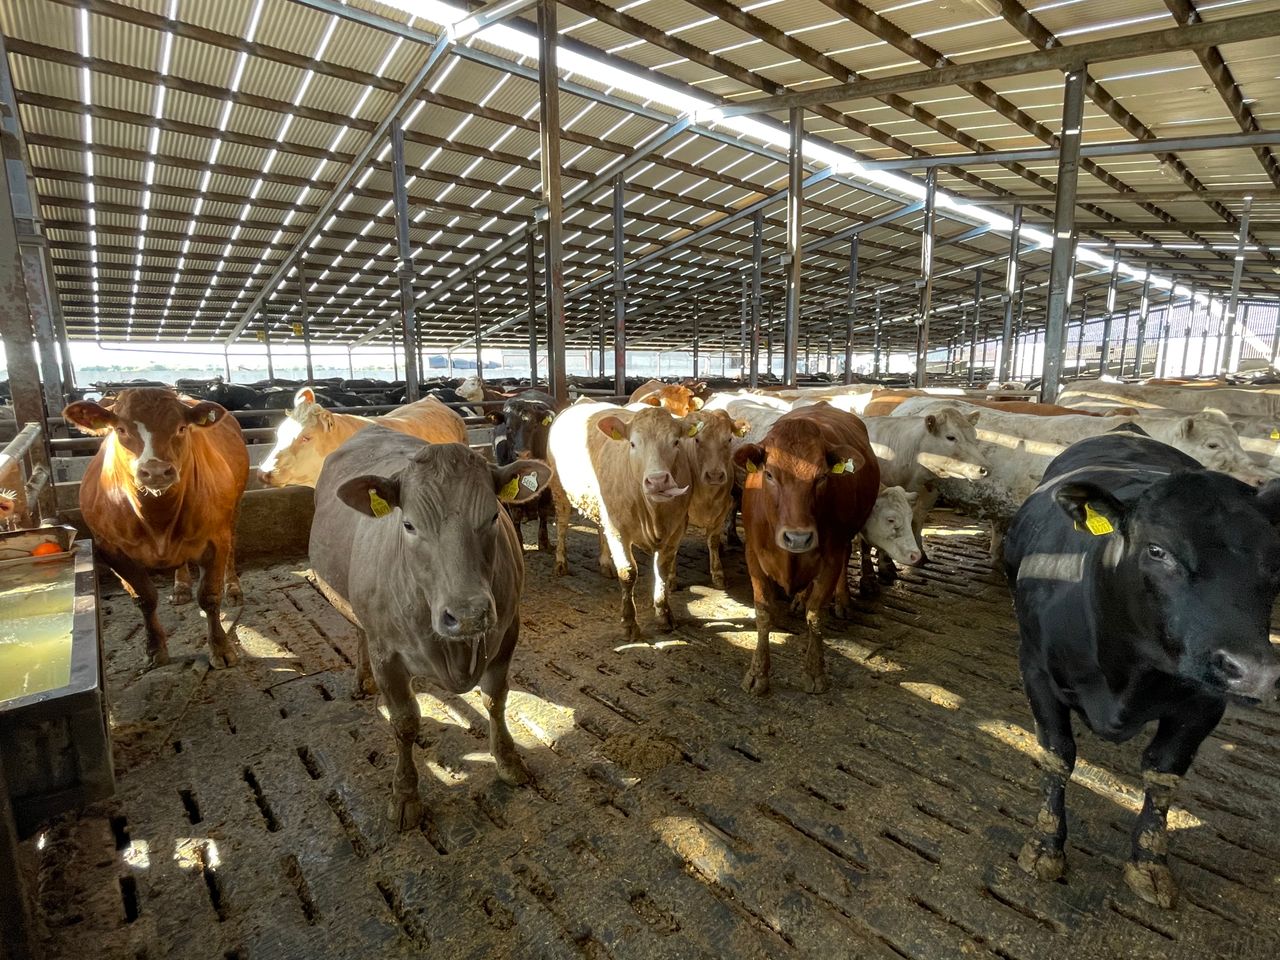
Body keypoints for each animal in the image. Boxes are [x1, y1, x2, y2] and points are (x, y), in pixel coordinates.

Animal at [64, 388, 249, 669]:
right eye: (120, 429)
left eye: (181, 428)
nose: (156, 471)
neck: (158, 518)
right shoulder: (111, 550)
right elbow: (144, 598)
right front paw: (154, 650)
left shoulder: (216, 540)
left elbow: (209, 596)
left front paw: (221, 649)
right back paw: (180, 588)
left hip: (234, 510)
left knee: (233, 546)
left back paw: (234, 588)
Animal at [309, 428, 550, 829]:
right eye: (408, 525)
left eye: (492, 517)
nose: (468, 614)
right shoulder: (387, 654)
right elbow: (405, 722)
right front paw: (406, 794)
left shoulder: (507, 632)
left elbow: (495, 699)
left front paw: (508, 761)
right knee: (359, 632)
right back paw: (362, 680)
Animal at [548, 402, 693, 642]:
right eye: (633, 443)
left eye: (675, 442)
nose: (657, 481)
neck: (653, 515)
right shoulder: (618, 529)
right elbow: (628, 573)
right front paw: (629, 623)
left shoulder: (677, 528)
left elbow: (662, 570)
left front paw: (664, 614)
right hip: (559, 487)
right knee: (561, 524)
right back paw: (561, 562)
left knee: (600, 527)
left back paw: (606, 563)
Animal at [733, 404, 880, 695]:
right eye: (769, 474)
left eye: (822, 476)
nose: (798, 538)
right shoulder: (753, 556)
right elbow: (763, 613)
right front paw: (758, 674)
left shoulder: (831, 558)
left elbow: (816, 615)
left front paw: (815, 672)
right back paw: (800, 598)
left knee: (847, 560)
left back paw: (842, 601)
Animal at [1004, 430, 1280, 908]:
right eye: (1157, 550)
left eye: (1275, 559)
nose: (1254, 670)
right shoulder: (1035, 669)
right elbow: (1057, 755)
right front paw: (1045, 847)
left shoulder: (1205, 704)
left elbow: (1163, 772)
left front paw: (1149, 864)